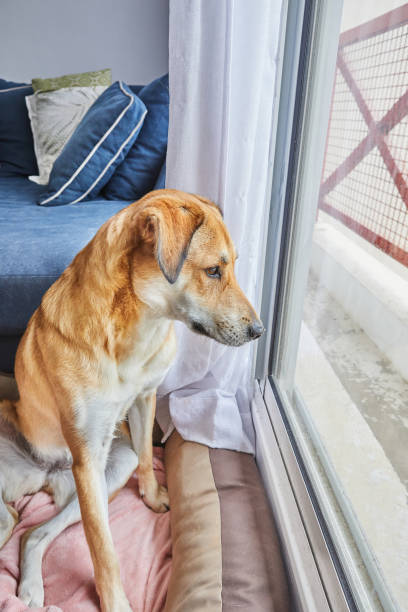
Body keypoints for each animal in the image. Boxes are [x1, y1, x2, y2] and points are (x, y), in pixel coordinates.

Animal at [0, 189, 264, 608]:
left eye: (234, 267)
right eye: (213, 271)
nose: (259, 330)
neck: (137, 325)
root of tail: (43, 476)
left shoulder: (145, 399)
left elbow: (144, 457)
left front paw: (152, 496)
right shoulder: (87, 458)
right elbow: (102, 547)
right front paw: (115, 604)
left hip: (110, 471)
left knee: (30, 532)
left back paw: (29, 585)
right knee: (17, 522)